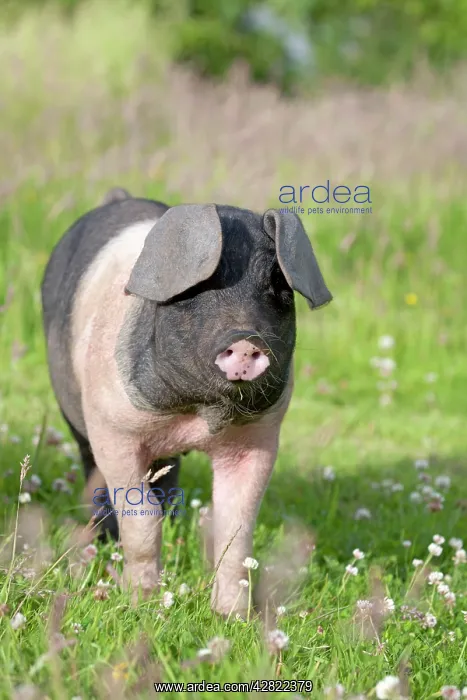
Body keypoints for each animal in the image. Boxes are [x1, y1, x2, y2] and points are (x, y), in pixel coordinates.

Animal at [41, 188, 332, 616]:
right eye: (195, 289)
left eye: (279, 287)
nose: (246, 340)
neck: (197, 416)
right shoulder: (114, 430)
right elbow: (142, 520)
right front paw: (141, 604)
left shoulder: (259, 436)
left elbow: (236, 528)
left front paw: (233, 617)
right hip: (76, 417)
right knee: (95, 472)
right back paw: (103, 538)